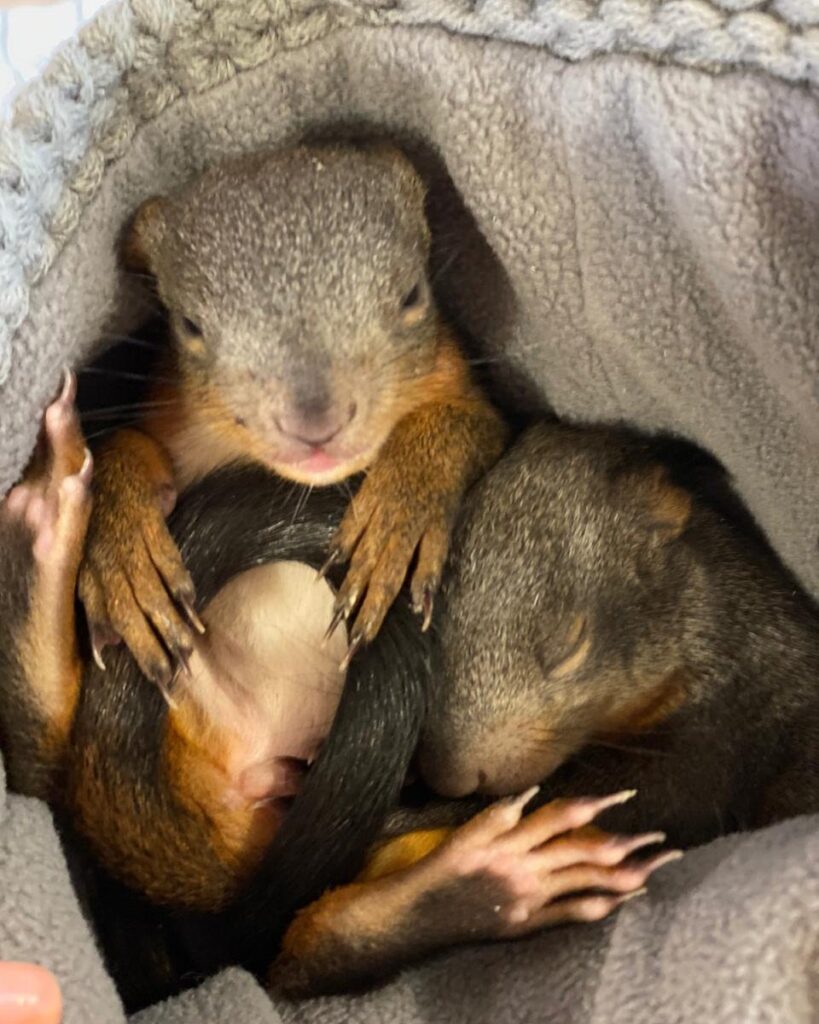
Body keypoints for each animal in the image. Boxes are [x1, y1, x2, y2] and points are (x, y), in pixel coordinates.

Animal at [78, 140, 508, 690]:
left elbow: (465, 425)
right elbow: (122, 446)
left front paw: (399, 511)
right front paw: (122, 553)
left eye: (413, 294)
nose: (316, 425)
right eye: (188, 326)